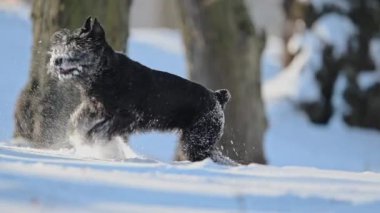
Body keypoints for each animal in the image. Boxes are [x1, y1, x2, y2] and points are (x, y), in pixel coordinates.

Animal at [47, 17, 232, 163]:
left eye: (78, 47)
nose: (56, 60)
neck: (107, 73)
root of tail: (217, 97)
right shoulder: (94, 109)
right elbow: (76, 123)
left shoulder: (127, 117)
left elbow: (96, 132)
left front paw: (99, 147)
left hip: (197, 141)